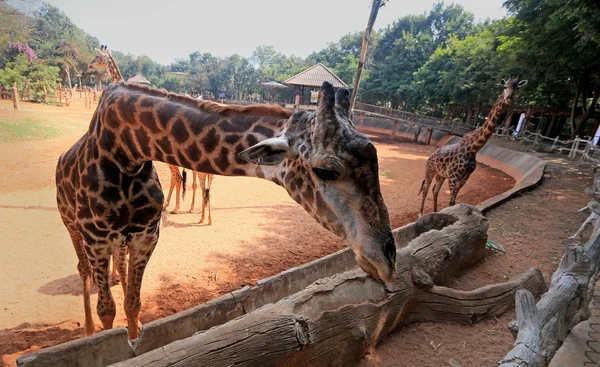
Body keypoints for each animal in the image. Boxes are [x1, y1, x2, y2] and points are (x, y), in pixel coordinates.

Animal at [55, 81, 398, 340]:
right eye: (325, 170)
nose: (387, 260)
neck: (126, 151)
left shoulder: (145, 236)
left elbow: (133, 303)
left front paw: (135, 334)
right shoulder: (98, 241)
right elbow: (107, 311)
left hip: (119, 240)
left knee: (120, 267)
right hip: (73, 227)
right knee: (83, 270)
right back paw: (87, 329)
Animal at [420, 76, 528, 217]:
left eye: (516, 88)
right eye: (505, 87)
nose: (509, 98)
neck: (473, 148)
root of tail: (430, 156)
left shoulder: (464, 178)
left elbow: (454, 202)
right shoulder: (454, 177)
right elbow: (451, 202)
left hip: (441, 174)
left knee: (435, 190)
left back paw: (434, 212)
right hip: (430, 170)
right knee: (426, 189)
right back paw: (420, 214)